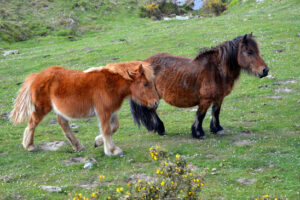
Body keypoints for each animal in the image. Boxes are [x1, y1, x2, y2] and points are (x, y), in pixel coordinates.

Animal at [10, 61, 159, 156]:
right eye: (145, 84)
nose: (155, 103)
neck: (110, 85)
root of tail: (37, 76)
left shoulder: (112, 112)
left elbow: (114, 127)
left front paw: (98, 142)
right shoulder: (104, 112)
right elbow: (106, 130)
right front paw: (112, 151)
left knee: (63, 124)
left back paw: (77, 146)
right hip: (41, 108)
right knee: (32, 124)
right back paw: (29, 146)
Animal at [129, 34, 270, 139]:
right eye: (249, 52)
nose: (265, 70)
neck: (216, 70)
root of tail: (144, 63)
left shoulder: (219, 98)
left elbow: (216, 112)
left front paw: (217, 129)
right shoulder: (205, 100)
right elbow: (200, 115)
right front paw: (198, 133)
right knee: (151, 110)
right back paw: (160, 128)